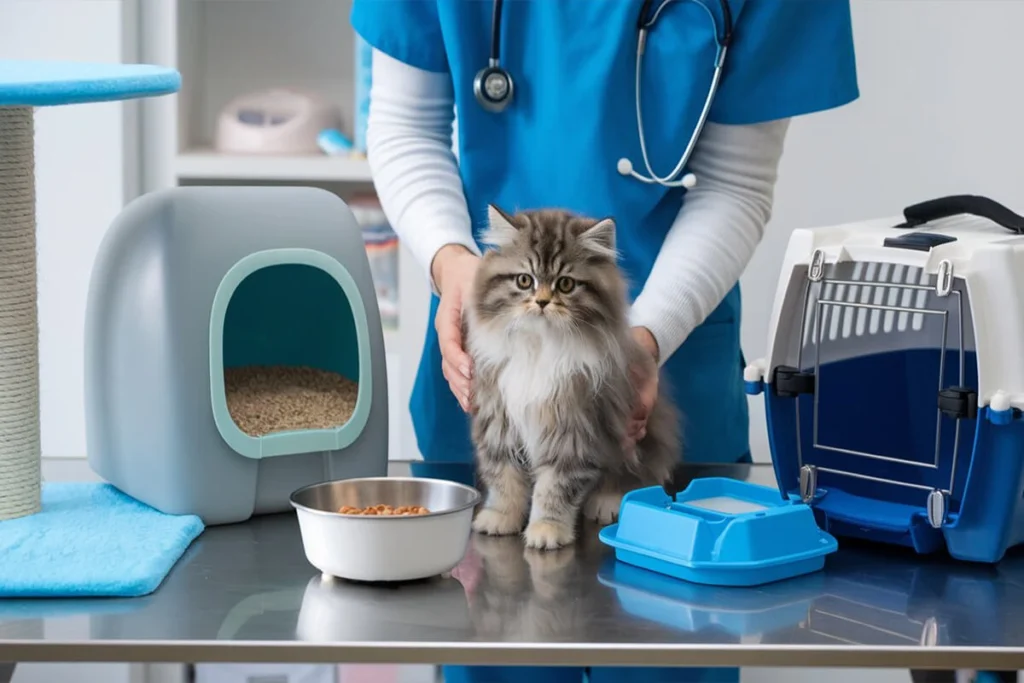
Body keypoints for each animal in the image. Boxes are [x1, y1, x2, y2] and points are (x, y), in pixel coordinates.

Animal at [464, 202, 679, 548]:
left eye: (565, 284)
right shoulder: (499, 422)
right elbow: (504, 479)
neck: (539, 347)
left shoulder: (574, 429)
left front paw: (546, 529)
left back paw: (607, 502)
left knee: (633, 478)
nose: (542, 301)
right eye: (524, 281)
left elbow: (555, 488)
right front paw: (500, 518)